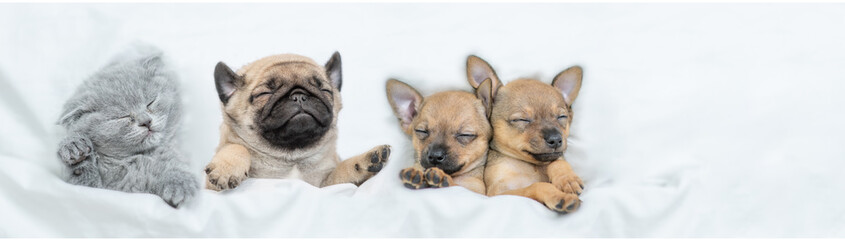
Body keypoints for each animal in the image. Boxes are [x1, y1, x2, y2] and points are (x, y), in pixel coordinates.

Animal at [57, 49, 199, 208]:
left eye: (150, 102)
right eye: (122, 117)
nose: (146, 121)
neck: (135, 158)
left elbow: (174, 163)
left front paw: (179, 183)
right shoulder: (97, 187)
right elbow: (83, 180)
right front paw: (74, 149)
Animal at [206, 52, 390, 191]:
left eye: (324, 90)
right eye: (264, 94)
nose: (299, 96)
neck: (292, 157)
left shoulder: (326, 184)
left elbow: (342, 171)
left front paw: (365, 161)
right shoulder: (210, 187)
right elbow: (236, 147)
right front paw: (227, 168)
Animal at [464, 55, 584, 213]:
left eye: (562, 117)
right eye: (522, 120)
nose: (556, 139)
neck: (530, 165)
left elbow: (557, 161)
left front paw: (567, 179)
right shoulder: (501, 193)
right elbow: (537, 185)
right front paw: (559, 196)